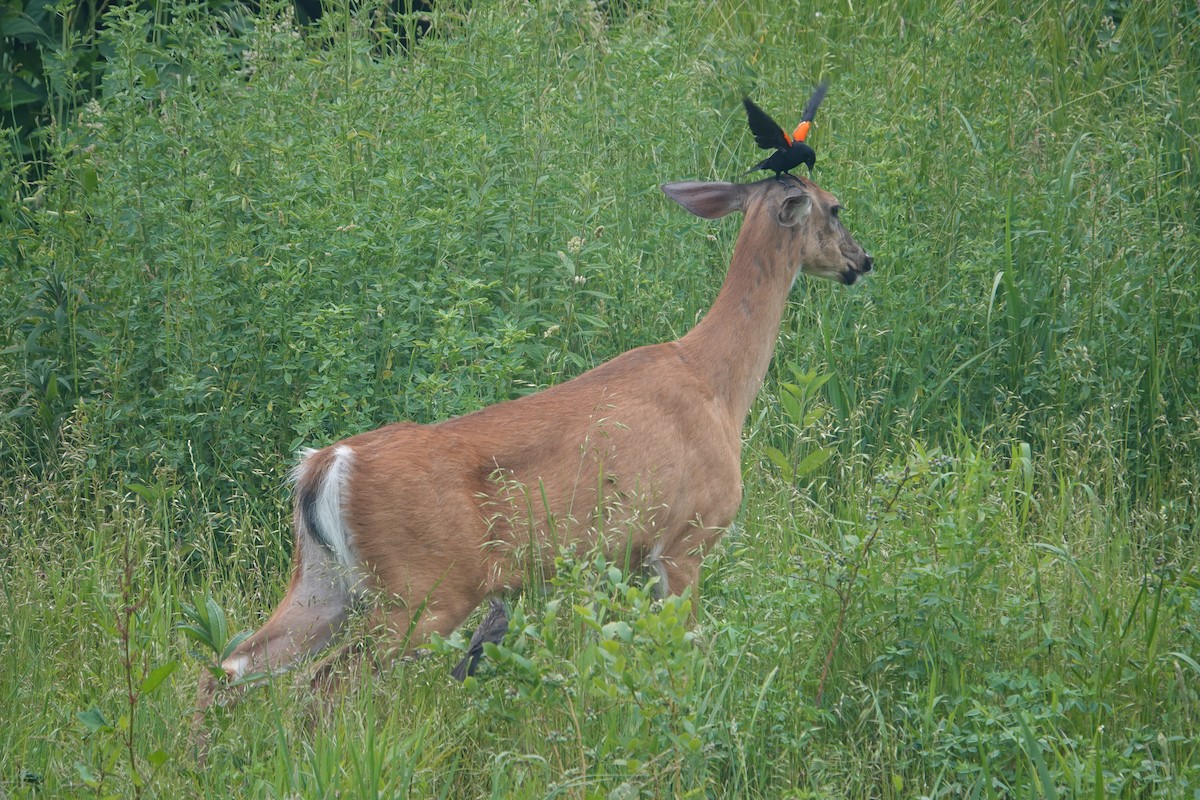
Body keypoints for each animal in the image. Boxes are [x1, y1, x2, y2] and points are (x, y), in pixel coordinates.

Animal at [194, 173, 873, 724]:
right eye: (835, 207)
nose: (862, 260)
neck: (718, 386)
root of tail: (324, 465)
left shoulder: (623, 559)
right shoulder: (687, 539)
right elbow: (684, 652)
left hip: (323, 579)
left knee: (229, 668)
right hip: (420, 594)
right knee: (325, 685)